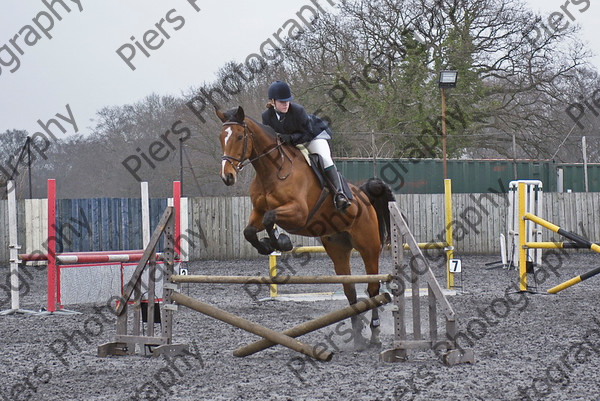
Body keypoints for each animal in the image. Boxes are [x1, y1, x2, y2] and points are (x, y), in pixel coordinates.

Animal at [216, 106, 394, 346]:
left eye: (239, 137)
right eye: (221, 138)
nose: (227, 176)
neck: (272, 170)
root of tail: (363, 195)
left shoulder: (298, 213)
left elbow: (270, 218)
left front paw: (281, 242)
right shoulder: (258, 212)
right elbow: (250, 230)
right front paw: (268, 245)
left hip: (368, 247)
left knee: (373, 287)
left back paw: (374, 332)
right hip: (338, 249)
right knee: (350, 290)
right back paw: (357, 336)